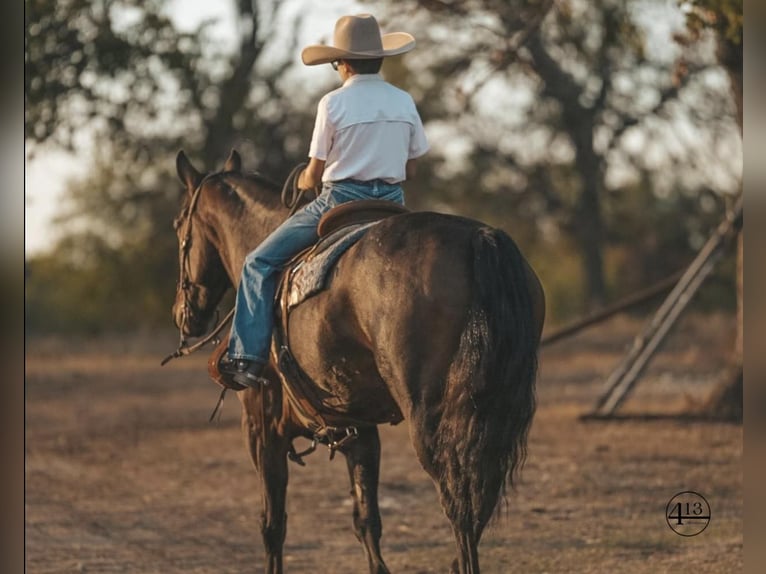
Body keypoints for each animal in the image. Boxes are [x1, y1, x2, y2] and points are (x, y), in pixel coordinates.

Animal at [172, 150, 548, 574]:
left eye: (178, 224)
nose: (183, 314)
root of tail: (479, 239)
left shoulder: (261, 428)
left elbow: (273, 525)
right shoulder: (359, 429)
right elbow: (366, 519)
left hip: (433, 418)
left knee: (460, 503)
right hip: (495, 410)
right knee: (480, 498)